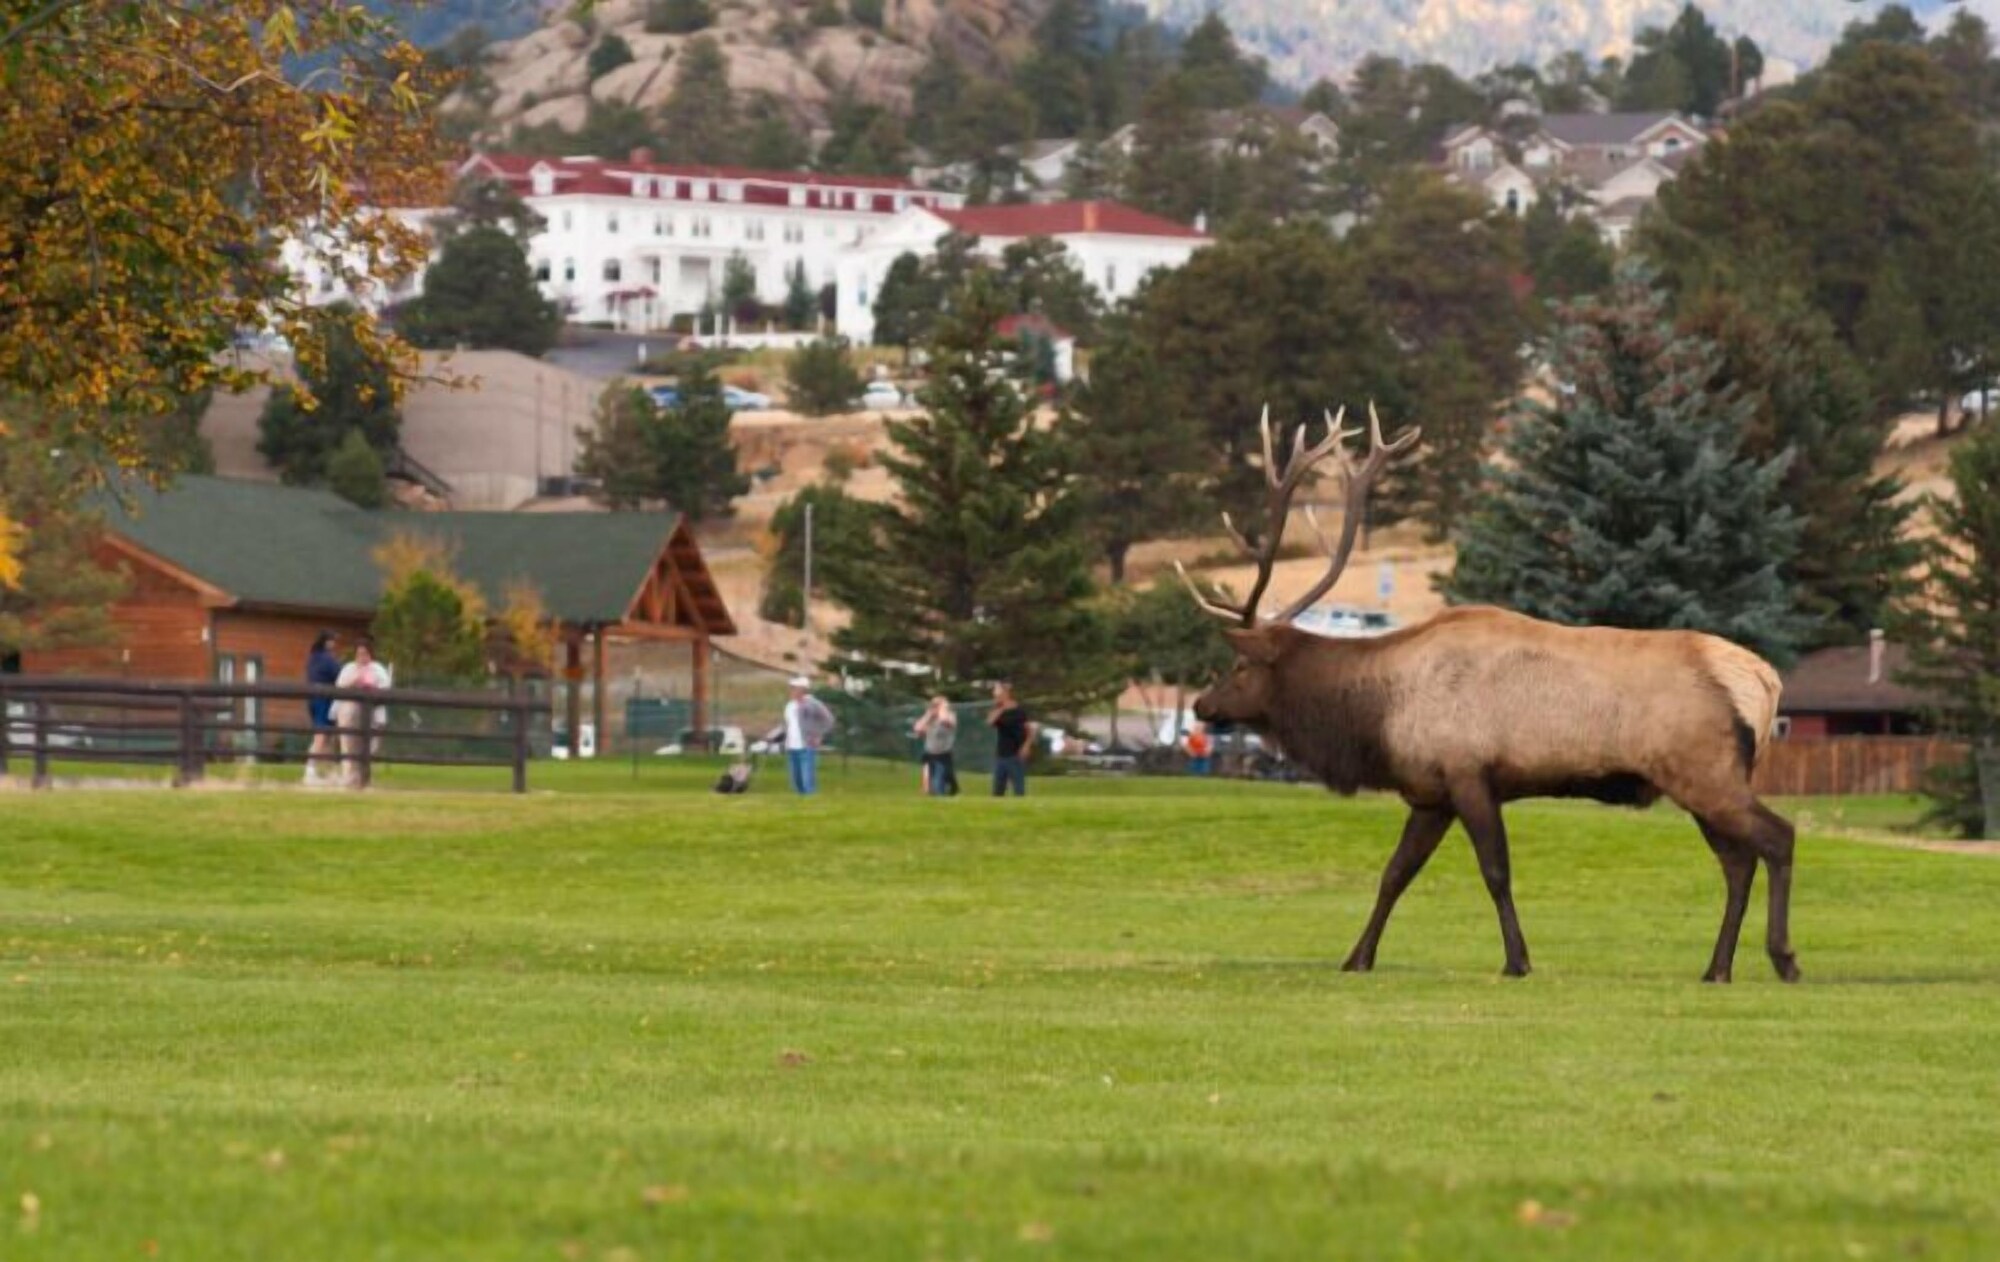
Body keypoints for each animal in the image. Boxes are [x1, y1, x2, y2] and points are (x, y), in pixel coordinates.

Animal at [1176, 410, 1808, 984]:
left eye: (1240, 666)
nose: (1201, 706)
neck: (1379, 716)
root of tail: (1764, 681)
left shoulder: (1468, 772)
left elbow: (1495, 871)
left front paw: (1518, 960)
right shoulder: (1430, 791)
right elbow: (1394, 873)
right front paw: (1357, 957)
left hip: (1702, 769)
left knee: (1776, 838)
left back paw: (1783, 958)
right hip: (1701, 780)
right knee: (1737, 862)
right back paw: (1717, 968)